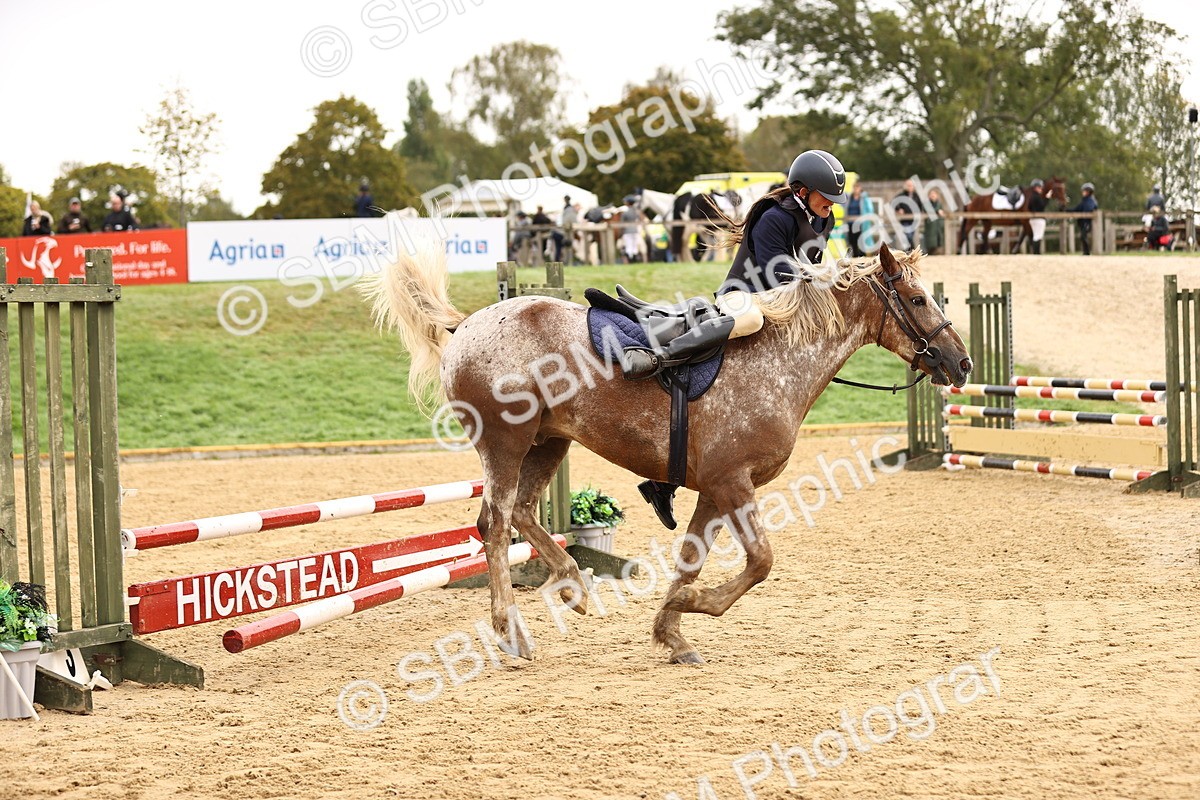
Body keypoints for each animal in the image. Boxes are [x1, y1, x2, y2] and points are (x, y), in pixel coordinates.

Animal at [362, 242, 972, 665]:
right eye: (918, 299)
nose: (961, 363)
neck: (780, 360)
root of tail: (467, 323)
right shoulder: (732, 483)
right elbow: (760, 562)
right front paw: (686, 609)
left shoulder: (715, 491)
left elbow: (692, 559)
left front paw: (671, 631)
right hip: (505, 442)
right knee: (494, 523)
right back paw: (512, 630)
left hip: (548, 442)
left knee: (522, 513)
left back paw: (572, 584)